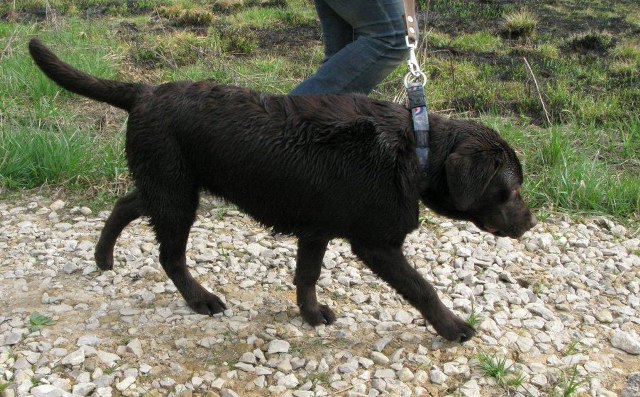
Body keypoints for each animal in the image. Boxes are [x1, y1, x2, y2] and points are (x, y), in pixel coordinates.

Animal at [28, 38, 536, 340]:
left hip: (168, 185)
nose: (531, 222)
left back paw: (103, 258)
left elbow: (306, 276)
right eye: (510, 190)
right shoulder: (377, 245)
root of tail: (144, 92)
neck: (419, 148)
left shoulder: (317, 230)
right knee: (169, 255)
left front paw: (310, 315)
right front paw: (452, 326)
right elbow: (422, 288)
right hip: (176, 197)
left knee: (125, 204)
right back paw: (199, 299)